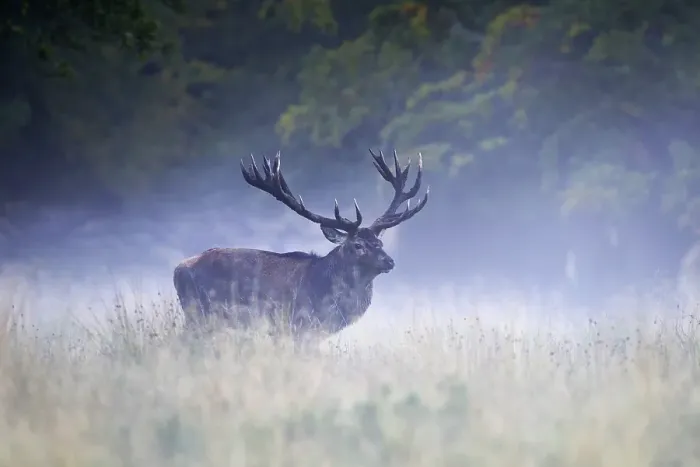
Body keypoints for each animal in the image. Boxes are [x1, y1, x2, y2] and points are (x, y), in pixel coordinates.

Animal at [173, 149, 429, 342]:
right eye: (358, 245)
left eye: (380, 242)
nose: (389, 261)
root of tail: (178, 269)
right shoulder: (298, 325)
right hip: (200, 313)